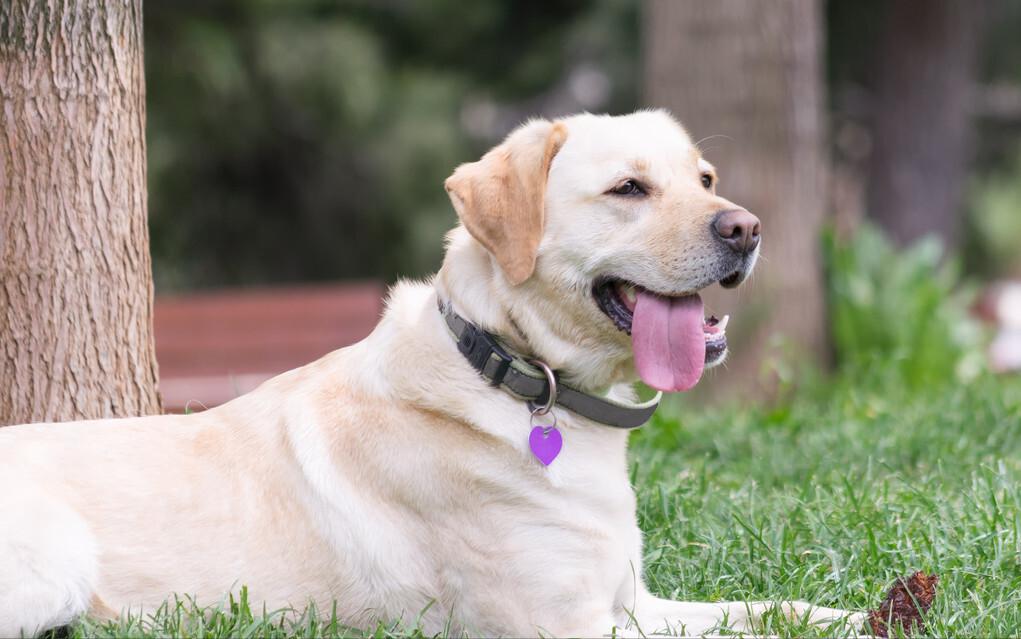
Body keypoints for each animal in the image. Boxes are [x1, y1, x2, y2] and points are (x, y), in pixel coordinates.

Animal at [0, 109, 861, 632]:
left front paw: (860, 615)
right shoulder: (566, 623)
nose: (746, 228)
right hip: (54, 567)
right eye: (628, 188)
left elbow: (770, 609)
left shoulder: (635, 600)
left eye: (705, 180)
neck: (516, 374)